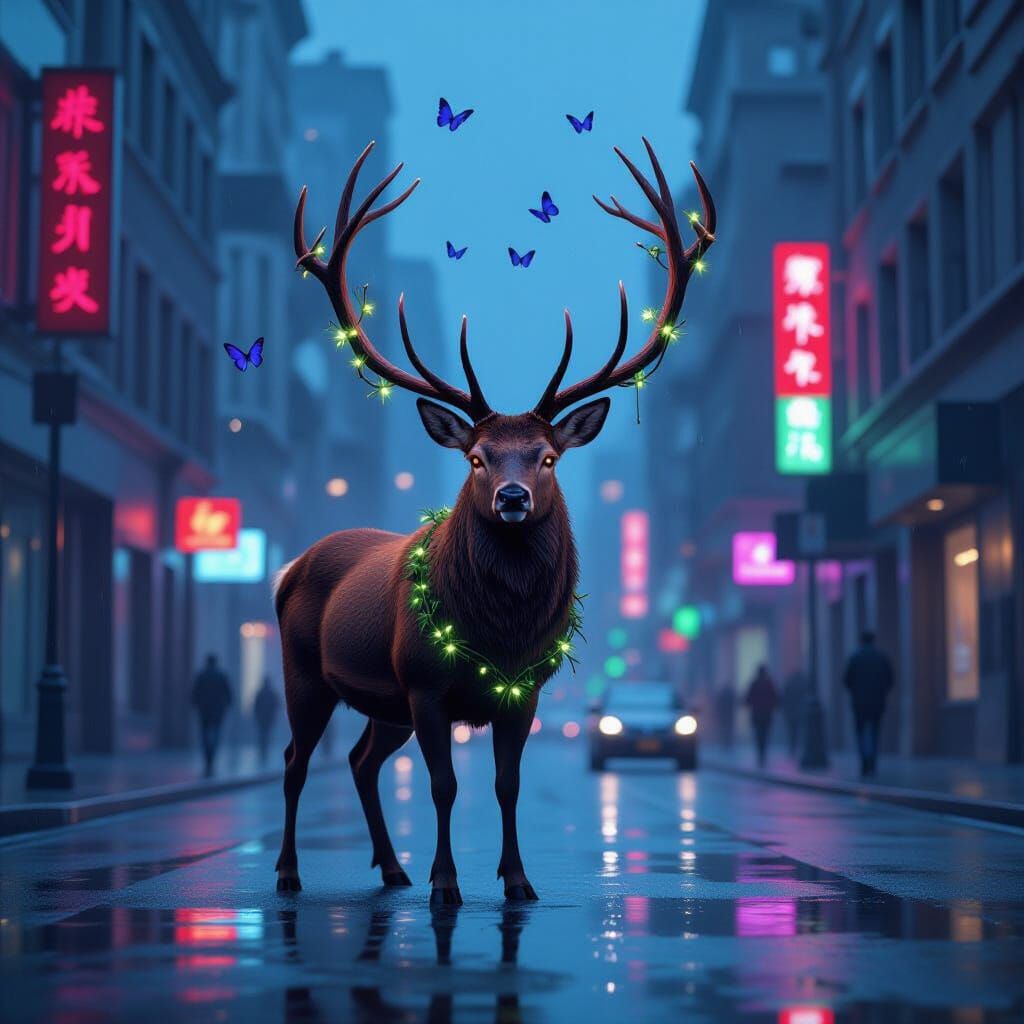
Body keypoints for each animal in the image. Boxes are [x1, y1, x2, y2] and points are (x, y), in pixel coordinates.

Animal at [275, 137, 715, 904]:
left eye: (548, 457)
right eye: (477, 457)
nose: (512, 497)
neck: (499, 633)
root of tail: (289, 570)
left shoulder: (522, 689)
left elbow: (507, 786)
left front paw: (518, 880)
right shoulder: (424, 682)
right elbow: (445, 787)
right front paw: (447, 884)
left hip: (380, 701)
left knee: (359, 760)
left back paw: (391, 869)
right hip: (305, 668)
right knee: (296, 758)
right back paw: (291, 872)